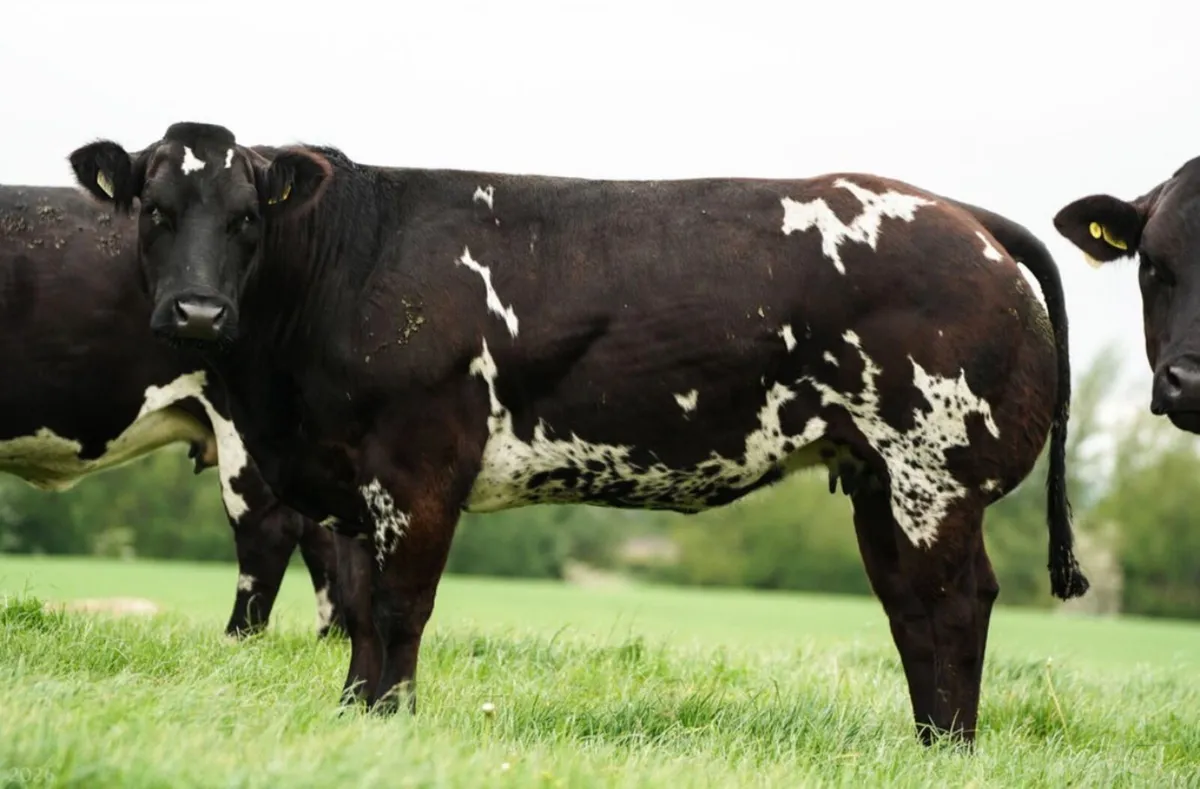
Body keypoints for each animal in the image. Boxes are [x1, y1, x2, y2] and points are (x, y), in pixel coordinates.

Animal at [66, 121, 1089, 747]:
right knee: (914, 608)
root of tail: (962, 214)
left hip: (933, 476)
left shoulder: (419, 467)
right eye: (153, 210)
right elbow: (357, 606)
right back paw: (929, 744)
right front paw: (356, 716)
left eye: (247, 218)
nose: (196, 312)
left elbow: (398, 607)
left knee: (954, 604)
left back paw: (950, 749)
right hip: (880, 479)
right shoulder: (350, 481)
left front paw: (390, 722)